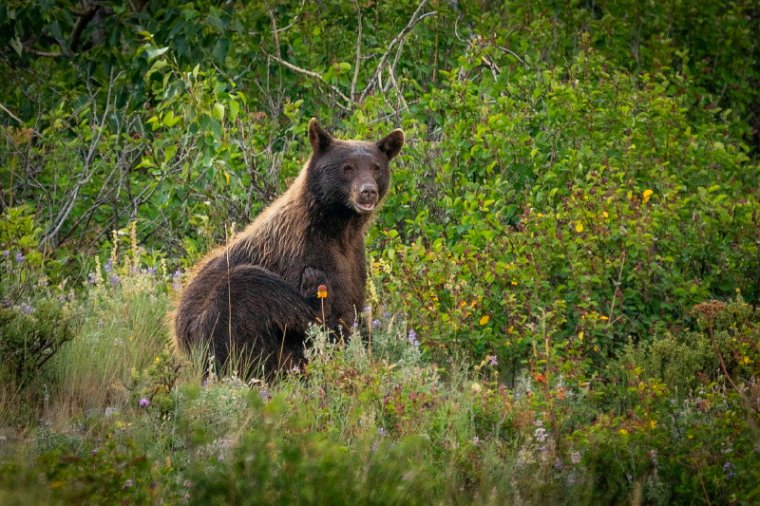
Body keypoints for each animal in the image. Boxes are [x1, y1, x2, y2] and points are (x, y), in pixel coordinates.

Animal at [172, 118, 404, 376]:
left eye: (376, 167)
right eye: (347, 167)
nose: (367, 192)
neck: (338, 229)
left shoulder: (354, 258)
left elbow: (354, 306)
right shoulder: (303, 252)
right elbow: (317, 322)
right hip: (213, 323)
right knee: (250, 285)